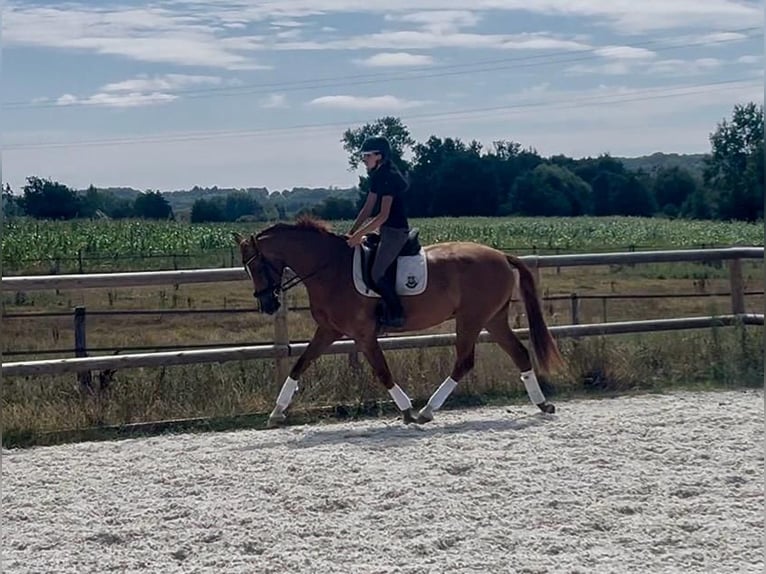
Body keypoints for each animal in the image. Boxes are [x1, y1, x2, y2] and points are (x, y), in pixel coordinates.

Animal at [234, 215, 565, 427]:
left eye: (257, 266)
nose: (267, 304)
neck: (330, 268)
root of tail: (501, 255)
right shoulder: (328, 330)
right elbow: (299, 365)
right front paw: (276, 412)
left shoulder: (363, 334)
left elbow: (382, 372)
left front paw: (407, 411)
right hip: (492, 318)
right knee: (519, 353)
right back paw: (542, 404)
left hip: (471, 319)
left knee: (464, 362)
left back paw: (428, 410)